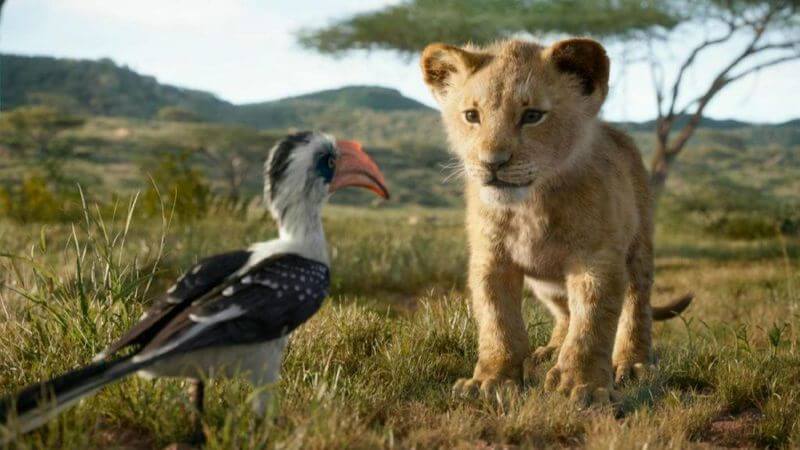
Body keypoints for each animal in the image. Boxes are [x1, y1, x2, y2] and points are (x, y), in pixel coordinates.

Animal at [420, 38, 692, 405]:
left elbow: (592, 323)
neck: (530, 206)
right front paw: (491, 381)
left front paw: (583, 385)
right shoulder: (491, 259)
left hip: (639, 248)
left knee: (637, 305)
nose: (492, 163)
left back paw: (633, 363)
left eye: (532, 116)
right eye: (472, 116)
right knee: (565, 312)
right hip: (545, 283)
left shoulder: (597, 259)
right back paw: (549, 351)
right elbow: (497, 321)